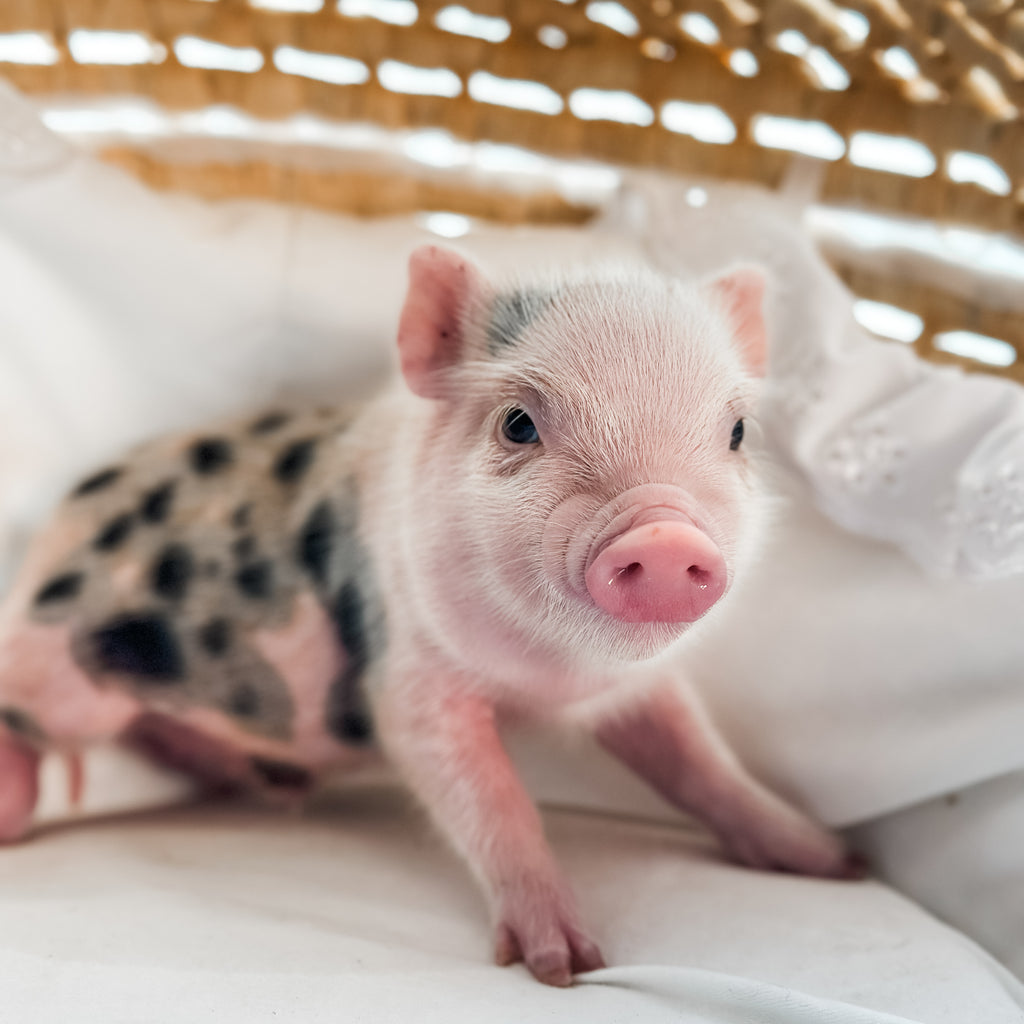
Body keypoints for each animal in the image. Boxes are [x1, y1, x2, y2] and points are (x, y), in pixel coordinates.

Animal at [0, 245, 853, 986]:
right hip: (62, 665)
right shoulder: (408, 675)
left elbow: (703, 765)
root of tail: (44, 546)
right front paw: (565, 966)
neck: (549, 680)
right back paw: (15, 814)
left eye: (736, 433)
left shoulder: (639, 688)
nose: (667, 538)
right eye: (518, 423)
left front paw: (832, 863)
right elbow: (490, 798)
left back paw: (275, 785)